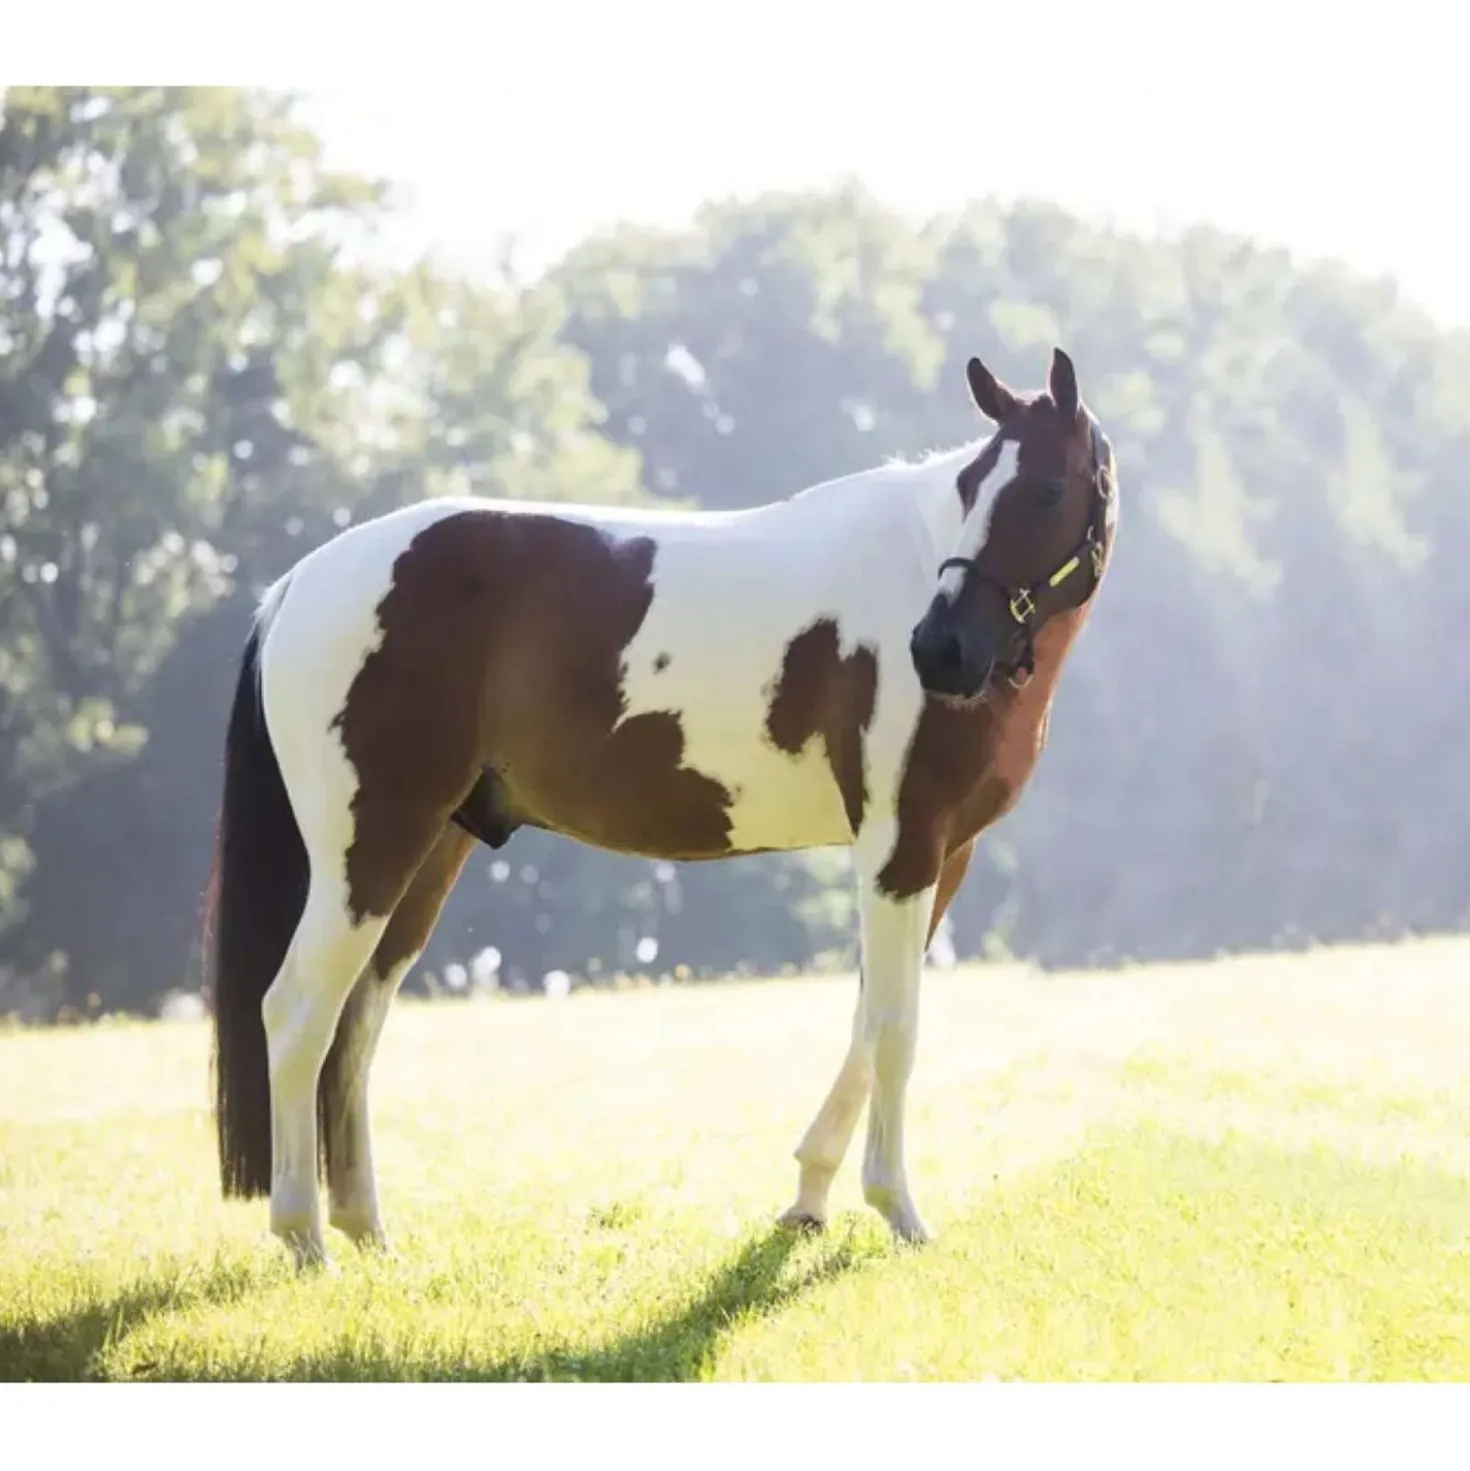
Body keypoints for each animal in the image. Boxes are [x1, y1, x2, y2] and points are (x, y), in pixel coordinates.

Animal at [204, 345, 1119, 1269]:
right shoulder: (901, 848)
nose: (939, 649)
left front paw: (809, 1198)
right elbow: (896, 1026)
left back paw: (368, 1232)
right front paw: (898, 1211)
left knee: (356, 1021)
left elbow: (865, 1022)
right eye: (971, 485)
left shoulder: (940, 855)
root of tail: (300, 583)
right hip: (367, 848)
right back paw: (304, 1237)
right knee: (298, 1012)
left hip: (426, 853)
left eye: (1045, 489)